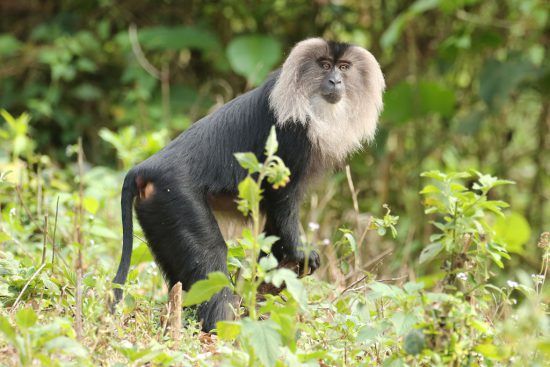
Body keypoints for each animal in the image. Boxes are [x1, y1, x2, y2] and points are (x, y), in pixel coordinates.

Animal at [112, 38, 386, 334]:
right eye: (324, 65)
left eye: (344, 67)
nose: (335, 81)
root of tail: (146, 167)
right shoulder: (291, 136)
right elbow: (282, 199)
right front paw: (299, 252)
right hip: (174, 197)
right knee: (211, 256)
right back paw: (219, 327)